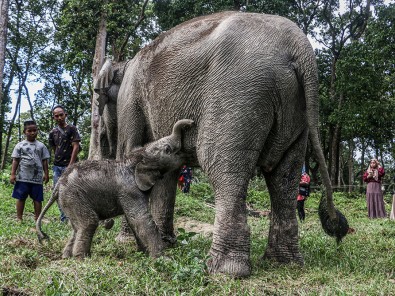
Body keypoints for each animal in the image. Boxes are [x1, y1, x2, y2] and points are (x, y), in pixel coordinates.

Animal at [36, 119, 194, 258]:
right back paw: (82, 258)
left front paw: (144, 253)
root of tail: (57, 186)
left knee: (77, 227)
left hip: (68, 201)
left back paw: (67, 257)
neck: (135, 158)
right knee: (89, 222)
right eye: (167, 149)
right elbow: (141, 218)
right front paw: (163, 259)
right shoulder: (129, 189)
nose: (191, 123)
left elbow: (132, 220)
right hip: (74, 197)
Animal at [94, 11, 348, 278]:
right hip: (296, 112)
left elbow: (131, 153)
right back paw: (283, 262)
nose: (106, 224)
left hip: (238, 95)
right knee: (285, 176)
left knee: (222, 166)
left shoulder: (130, 99)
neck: (124, 63)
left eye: (100, 99)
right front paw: (165, 243)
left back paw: (224, 270)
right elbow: (166, 171)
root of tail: (300, 48)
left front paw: (126, 242)